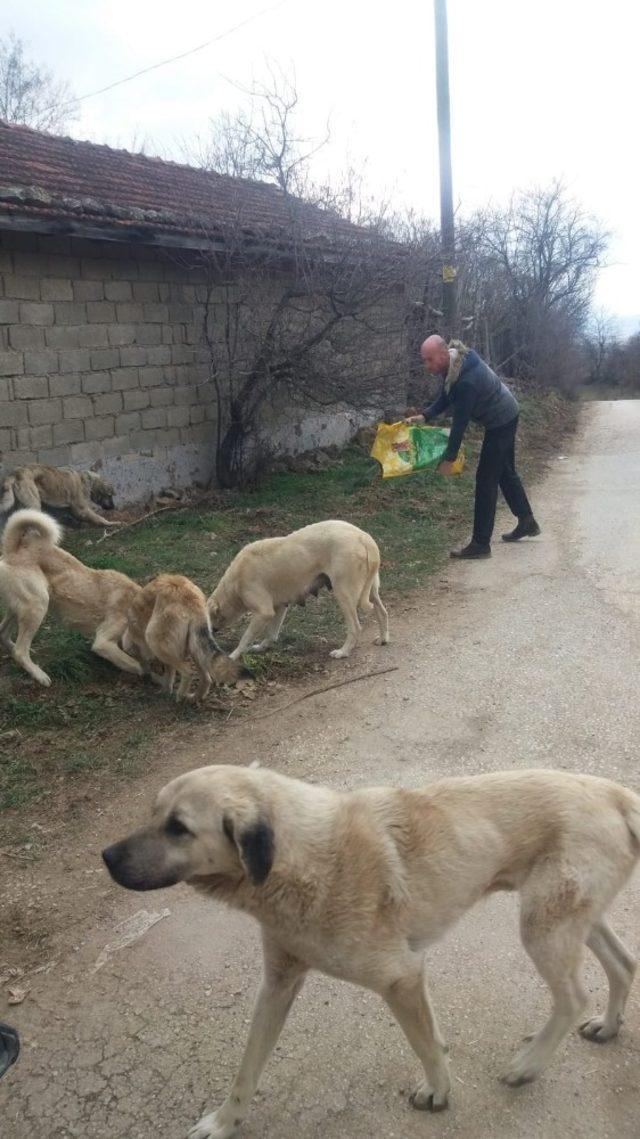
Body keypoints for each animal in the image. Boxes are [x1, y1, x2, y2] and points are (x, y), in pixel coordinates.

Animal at [0, 514, 140, 683]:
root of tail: (14, 549)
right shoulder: (103, 642)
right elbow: (135, 664)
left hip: (20, 607)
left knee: (4, 634)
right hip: (38, 605)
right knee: (20, 652)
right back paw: (39, 674)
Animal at [103, 765, 637, 1139]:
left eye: (178, 828)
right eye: (154, 813)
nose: (105, 857)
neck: (299, 858)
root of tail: (613, 793)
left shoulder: (401, 977)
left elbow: (425, 1045)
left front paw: (438, 1091)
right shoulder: (278, 982)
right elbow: (247, 1066)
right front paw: (224, 1122)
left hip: (543, 928)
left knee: (573, 998)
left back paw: (529, 1064)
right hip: (574, 921)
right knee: (624, 964)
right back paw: (608, 1027)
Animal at [208, 519, 389, 660]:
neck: (233, 584)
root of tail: (363, 536)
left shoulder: (263, 612)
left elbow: (245, 638)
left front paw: (233, 655)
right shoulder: (280, 607)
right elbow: (271, 634)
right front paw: (262, 647)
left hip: (344, 594)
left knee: (355, 628)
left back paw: (343, 652)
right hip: (371, 591)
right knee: (382, 612)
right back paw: (383, 639)